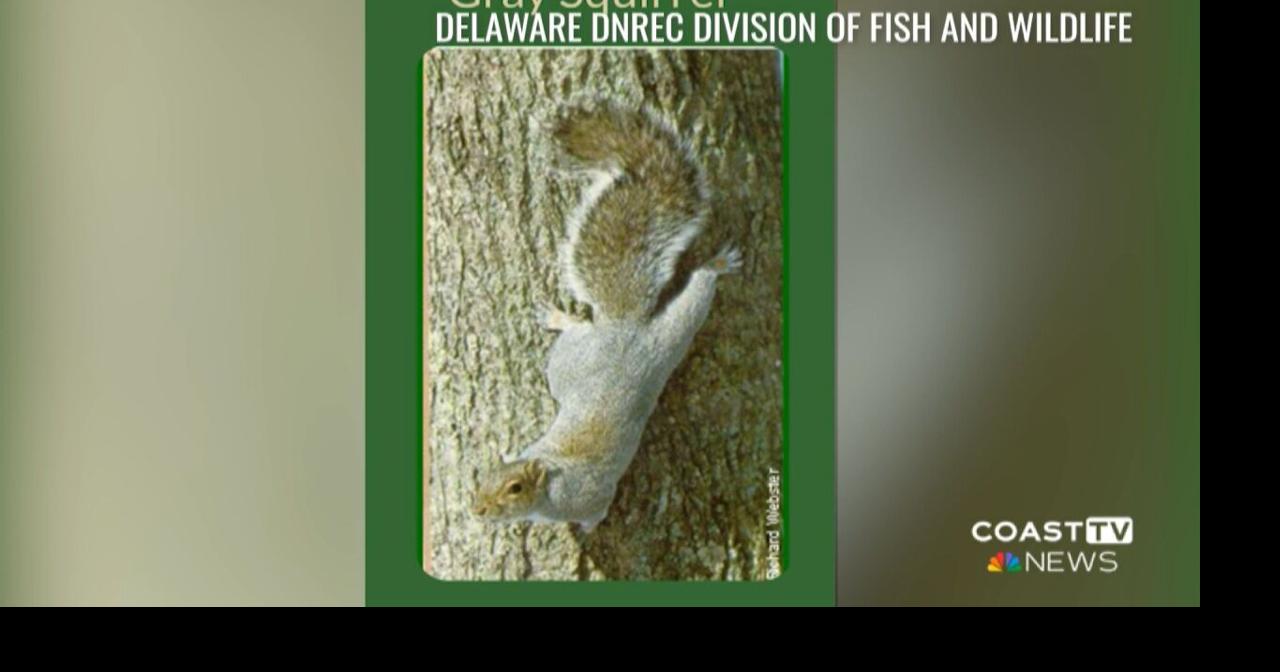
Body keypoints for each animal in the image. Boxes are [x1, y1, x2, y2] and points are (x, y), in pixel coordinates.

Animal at [471, 102, 741, 532]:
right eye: (485, 477)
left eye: (515, 489)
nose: (478, 508)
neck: (553, 474)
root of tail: (623, 325)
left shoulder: (589, 496)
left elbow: (595, 512)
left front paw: (588, 528)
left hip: (661, 340)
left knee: (697, 292)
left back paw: (716, 265)